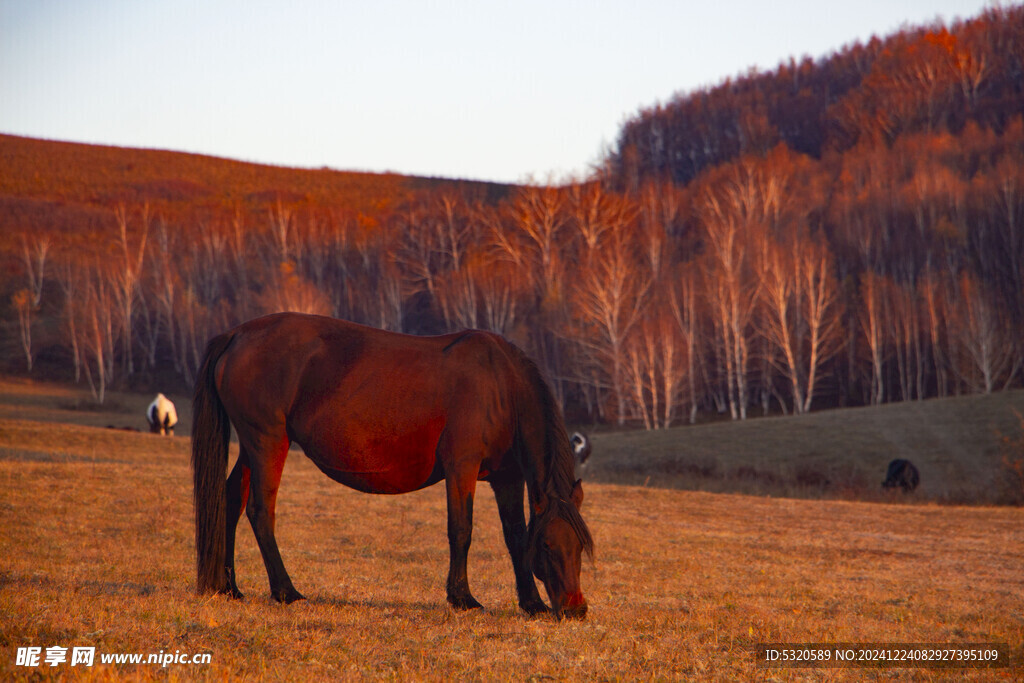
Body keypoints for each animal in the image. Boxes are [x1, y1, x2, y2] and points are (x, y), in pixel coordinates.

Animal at [192, 313, 593, 618]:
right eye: (548, 546)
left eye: (580, 546)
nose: (575, 609)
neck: (500, 387)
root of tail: (237, 335)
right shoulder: (461, 468)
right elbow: (461, 530)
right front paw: (463, 598)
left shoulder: (507, 478)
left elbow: (515, 536)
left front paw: (532, 603)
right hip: (268, 443)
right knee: (260, 512)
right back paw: (286, 591)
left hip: (251, 447)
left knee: (230, 502)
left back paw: (229, 587)